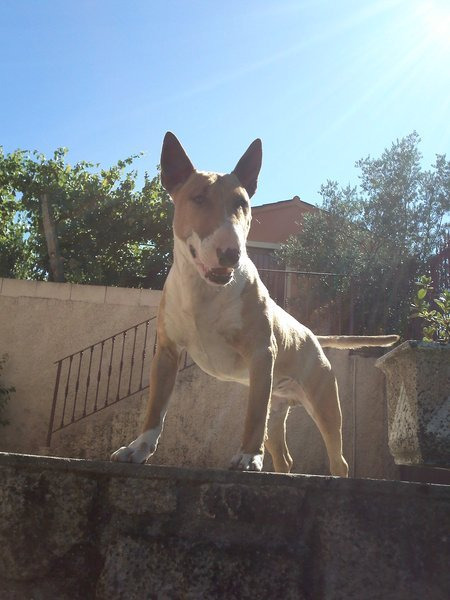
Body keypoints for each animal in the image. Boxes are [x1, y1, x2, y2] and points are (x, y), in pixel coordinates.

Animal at [111, 134, 398, 476]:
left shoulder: (261, 354)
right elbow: (155, 408)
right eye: (198, 198)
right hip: (277, 402)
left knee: (337, 459)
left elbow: (253, 416)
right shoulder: (167, 351)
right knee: (284, 456)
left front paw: (248, 457)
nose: (231, 253)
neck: (204, 290)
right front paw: (138, 448)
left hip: (324, 402)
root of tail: (313, 335)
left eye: (242, 204)